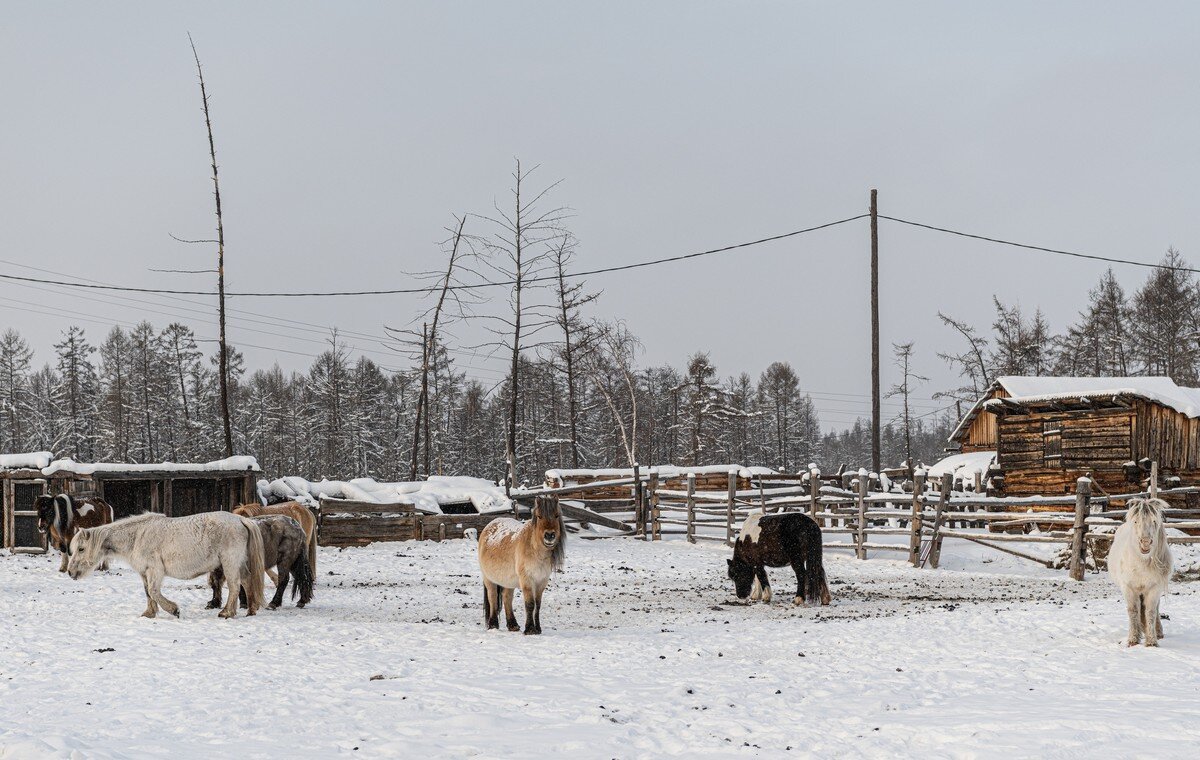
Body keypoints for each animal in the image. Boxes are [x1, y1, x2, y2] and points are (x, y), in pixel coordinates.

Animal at [69, 509, 266, 614]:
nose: (71, 572)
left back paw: (226, 613)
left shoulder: (155, 570)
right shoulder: (144, 572)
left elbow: (154, 591)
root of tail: (240, 519)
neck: (137, 537)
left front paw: (173, 610)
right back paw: (251, 610)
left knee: (235, 586)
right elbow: (148, 593)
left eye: (81, 549)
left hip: (229, 563)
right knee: (247, 581)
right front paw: (149, 613)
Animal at [475, 497, 564, 633]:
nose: (549, 535)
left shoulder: (541, 581)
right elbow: (530, 604)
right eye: (539, 516)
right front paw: (530, 629)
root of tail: (489, 526)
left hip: (508, 581)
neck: (535, 551)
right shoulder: (527, 579)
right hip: (488, 578)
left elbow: (538, 604)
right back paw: (493, 625)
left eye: (556, 515)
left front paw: (538, 629)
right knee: (493, 598)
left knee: (507, 597)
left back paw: (513, 625)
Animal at [1104, 497, 1171, 648]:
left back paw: (1158, 632)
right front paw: (1133, 639)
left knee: (1155, 608)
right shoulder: (1128, 588)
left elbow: (1151, 612)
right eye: (1136, 521)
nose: (1145, 543)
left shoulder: (1154, 588)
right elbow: (1133, 611)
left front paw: (1151, 641)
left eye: (1154, 521)